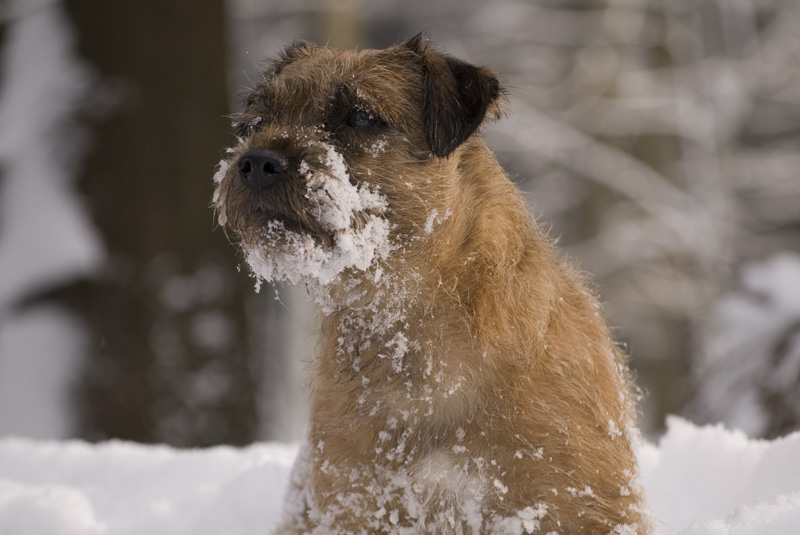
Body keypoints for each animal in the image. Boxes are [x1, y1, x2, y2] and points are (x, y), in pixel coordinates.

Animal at [212, 34, 648, 535]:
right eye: (256, 122)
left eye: (361, 116)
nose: (255, 161)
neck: (412, 327)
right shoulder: (357, 502)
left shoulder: (577, 504)